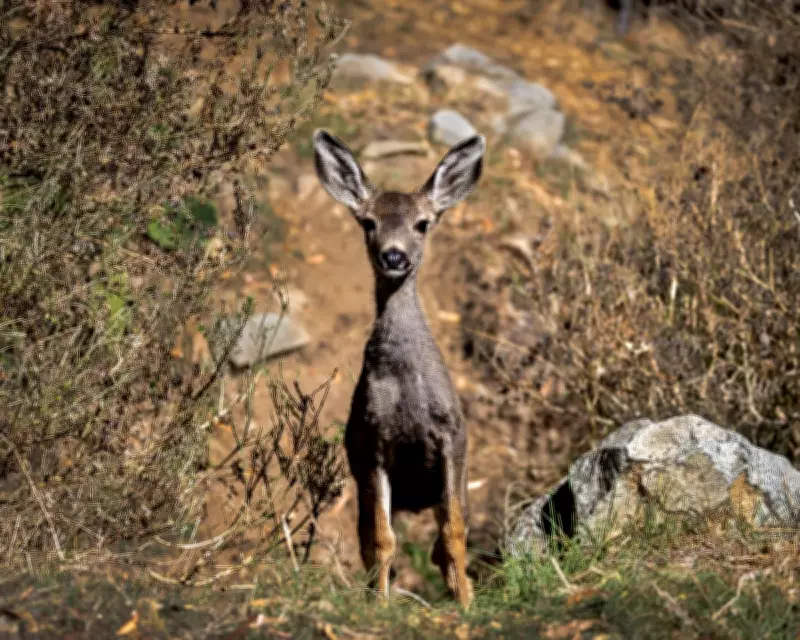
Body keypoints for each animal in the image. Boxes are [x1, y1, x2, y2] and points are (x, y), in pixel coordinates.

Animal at [312, 129, 486, 608]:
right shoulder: (372, 443)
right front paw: (381, 607)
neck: (407, 385)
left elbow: (454, 534)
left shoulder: (453, 436)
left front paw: (468, 607)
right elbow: (383, 541)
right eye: (368, 222)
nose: (393, 256)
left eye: (423, 223)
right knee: (369, 542)